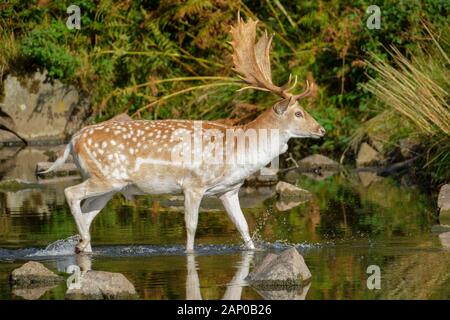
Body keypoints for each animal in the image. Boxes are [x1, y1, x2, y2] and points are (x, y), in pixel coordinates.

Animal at [39, 15, 324, 255]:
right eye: (298, 113)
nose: (321, 129)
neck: (236, 151)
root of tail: (72, 141)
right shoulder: (193, 184)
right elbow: (191, 228)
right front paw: (189, 254)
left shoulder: (228, 190)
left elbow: (243, 228)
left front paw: (254, 251)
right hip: (105, 176)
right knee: (71, 193)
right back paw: (82, 242)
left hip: (111, 184)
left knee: (87, 211)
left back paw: (82, 246)